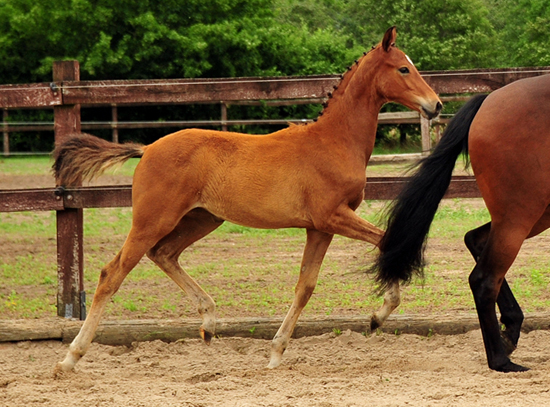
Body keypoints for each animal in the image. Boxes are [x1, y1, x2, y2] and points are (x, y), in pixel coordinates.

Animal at [52, 26, 444, 376]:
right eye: (403, 68)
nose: (436, 105)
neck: (333, 140)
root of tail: (147, 148)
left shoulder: (320, 227)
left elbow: (305, 287)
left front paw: (276, 353)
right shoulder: (332, 216)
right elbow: (389, 241)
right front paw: (378, 316)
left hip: (202, 219)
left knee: (164, 253)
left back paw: (209, 322)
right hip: (153, 220)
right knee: (112, 274)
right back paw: (70, 358)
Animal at [374, 73, 550, 372]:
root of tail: (489, 100)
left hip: (534, 215)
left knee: (475, 240)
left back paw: (510, 330)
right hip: (520, 216)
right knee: (484, 279)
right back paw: (501, 360)